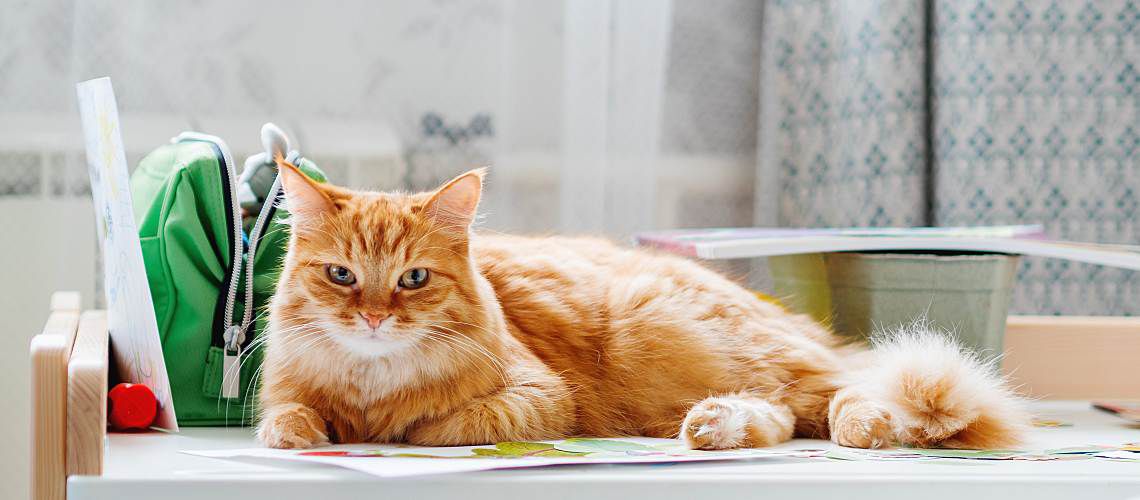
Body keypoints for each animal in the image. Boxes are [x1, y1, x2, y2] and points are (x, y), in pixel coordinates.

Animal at [258, 164, 1035, 451]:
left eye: (413, 279)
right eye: (341, 275)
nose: (373, 318)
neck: (372, 382)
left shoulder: (541, 396)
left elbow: (438, 426)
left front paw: (392, 430)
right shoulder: (285, 390)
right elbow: (286, 418)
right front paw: (310, 436)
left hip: (661, 325)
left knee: (841, 391)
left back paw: (866, 427)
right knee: (782, 414)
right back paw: (714, 428)